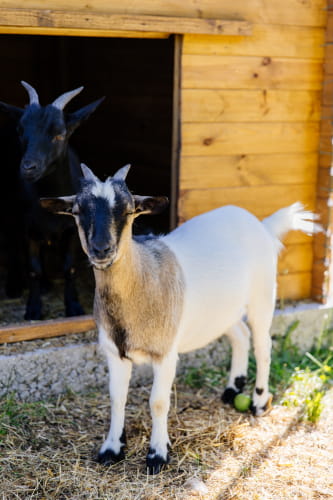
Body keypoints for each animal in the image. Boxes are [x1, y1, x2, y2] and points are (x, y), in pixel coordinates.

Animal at [0, 80, 104, 318]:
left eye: (60, 134)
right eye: (20, 131)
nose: (28, 167)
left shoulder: (72, 230)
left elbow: (69, 268)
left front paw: (74, 306)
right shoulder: (28, 227)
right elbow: (33, 270)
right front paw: (33, 309)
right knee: (12, 244)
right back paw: (13, 286)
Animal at [40, 163, 320, 472]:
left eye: (129, 210)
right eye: (77, 211)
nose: (101, 249)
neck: (144, 276)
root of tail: (262, 225)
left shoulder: (165, 353)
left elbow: (158, 402)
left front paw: (157, 454)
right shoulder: (114, 351)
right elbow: (116, 398)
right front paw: (112, 448)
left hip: (263, 294)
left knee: (263, 346)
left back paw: (259, 402)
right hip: (221, 310)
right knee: (240, 334)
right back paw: (232, 389)